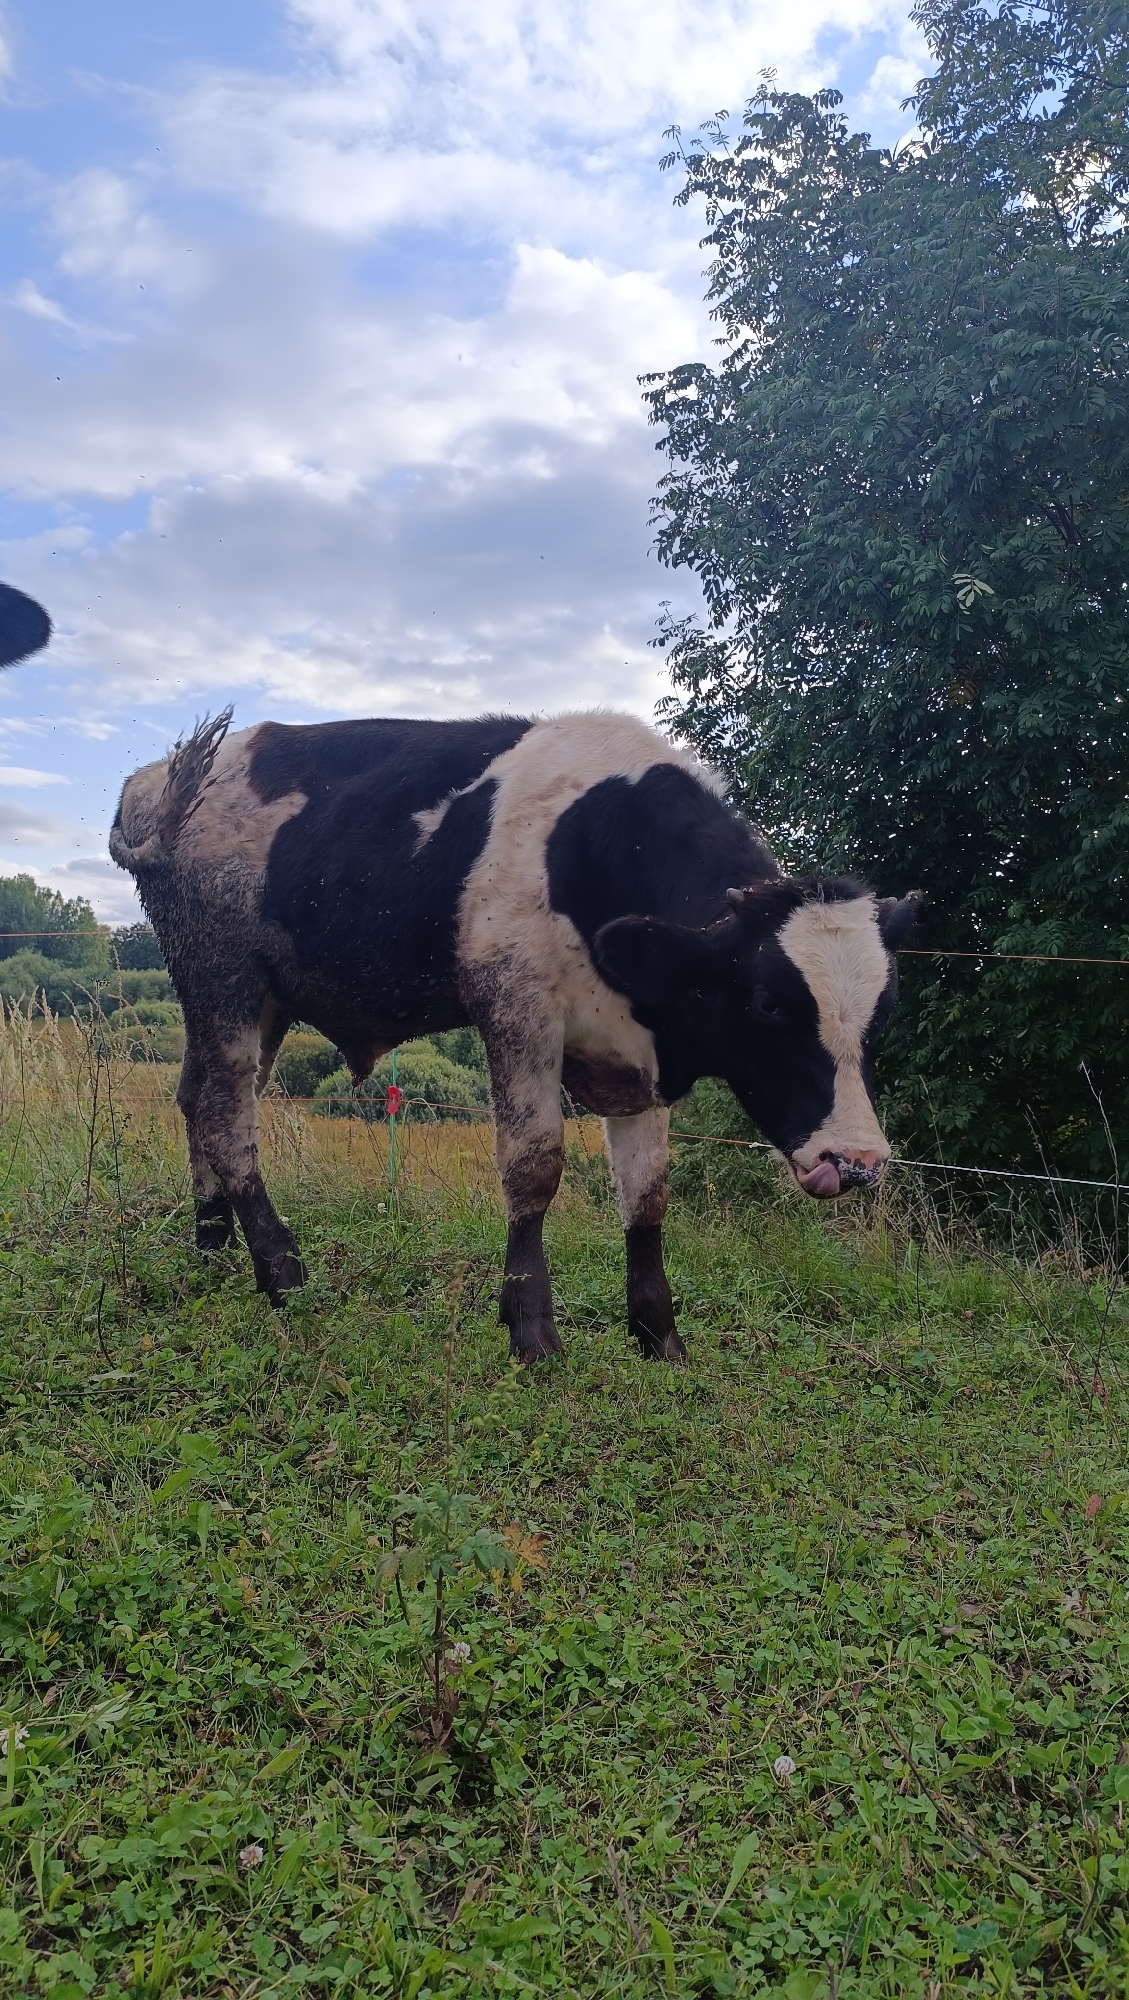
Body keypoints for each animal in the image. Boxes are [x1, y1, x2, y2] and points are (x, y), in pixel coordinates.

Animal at [110, 709, 919, 1362]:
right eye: (767, 1005)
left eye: (882, 1014)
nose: (855, 1161)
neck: (595, 845)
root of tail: (157, 781)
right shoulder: (516, 1008)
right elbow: (534, 1167)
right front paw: (532, 1331)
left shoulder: (640, 1056)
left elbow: (648, 1193)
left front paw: (659, 1336)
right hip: (222, 976)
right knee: (226, 1118)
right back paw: (280, 1271)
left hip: (258, 1000)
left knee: (195, 1099)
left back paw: (212, 1244)